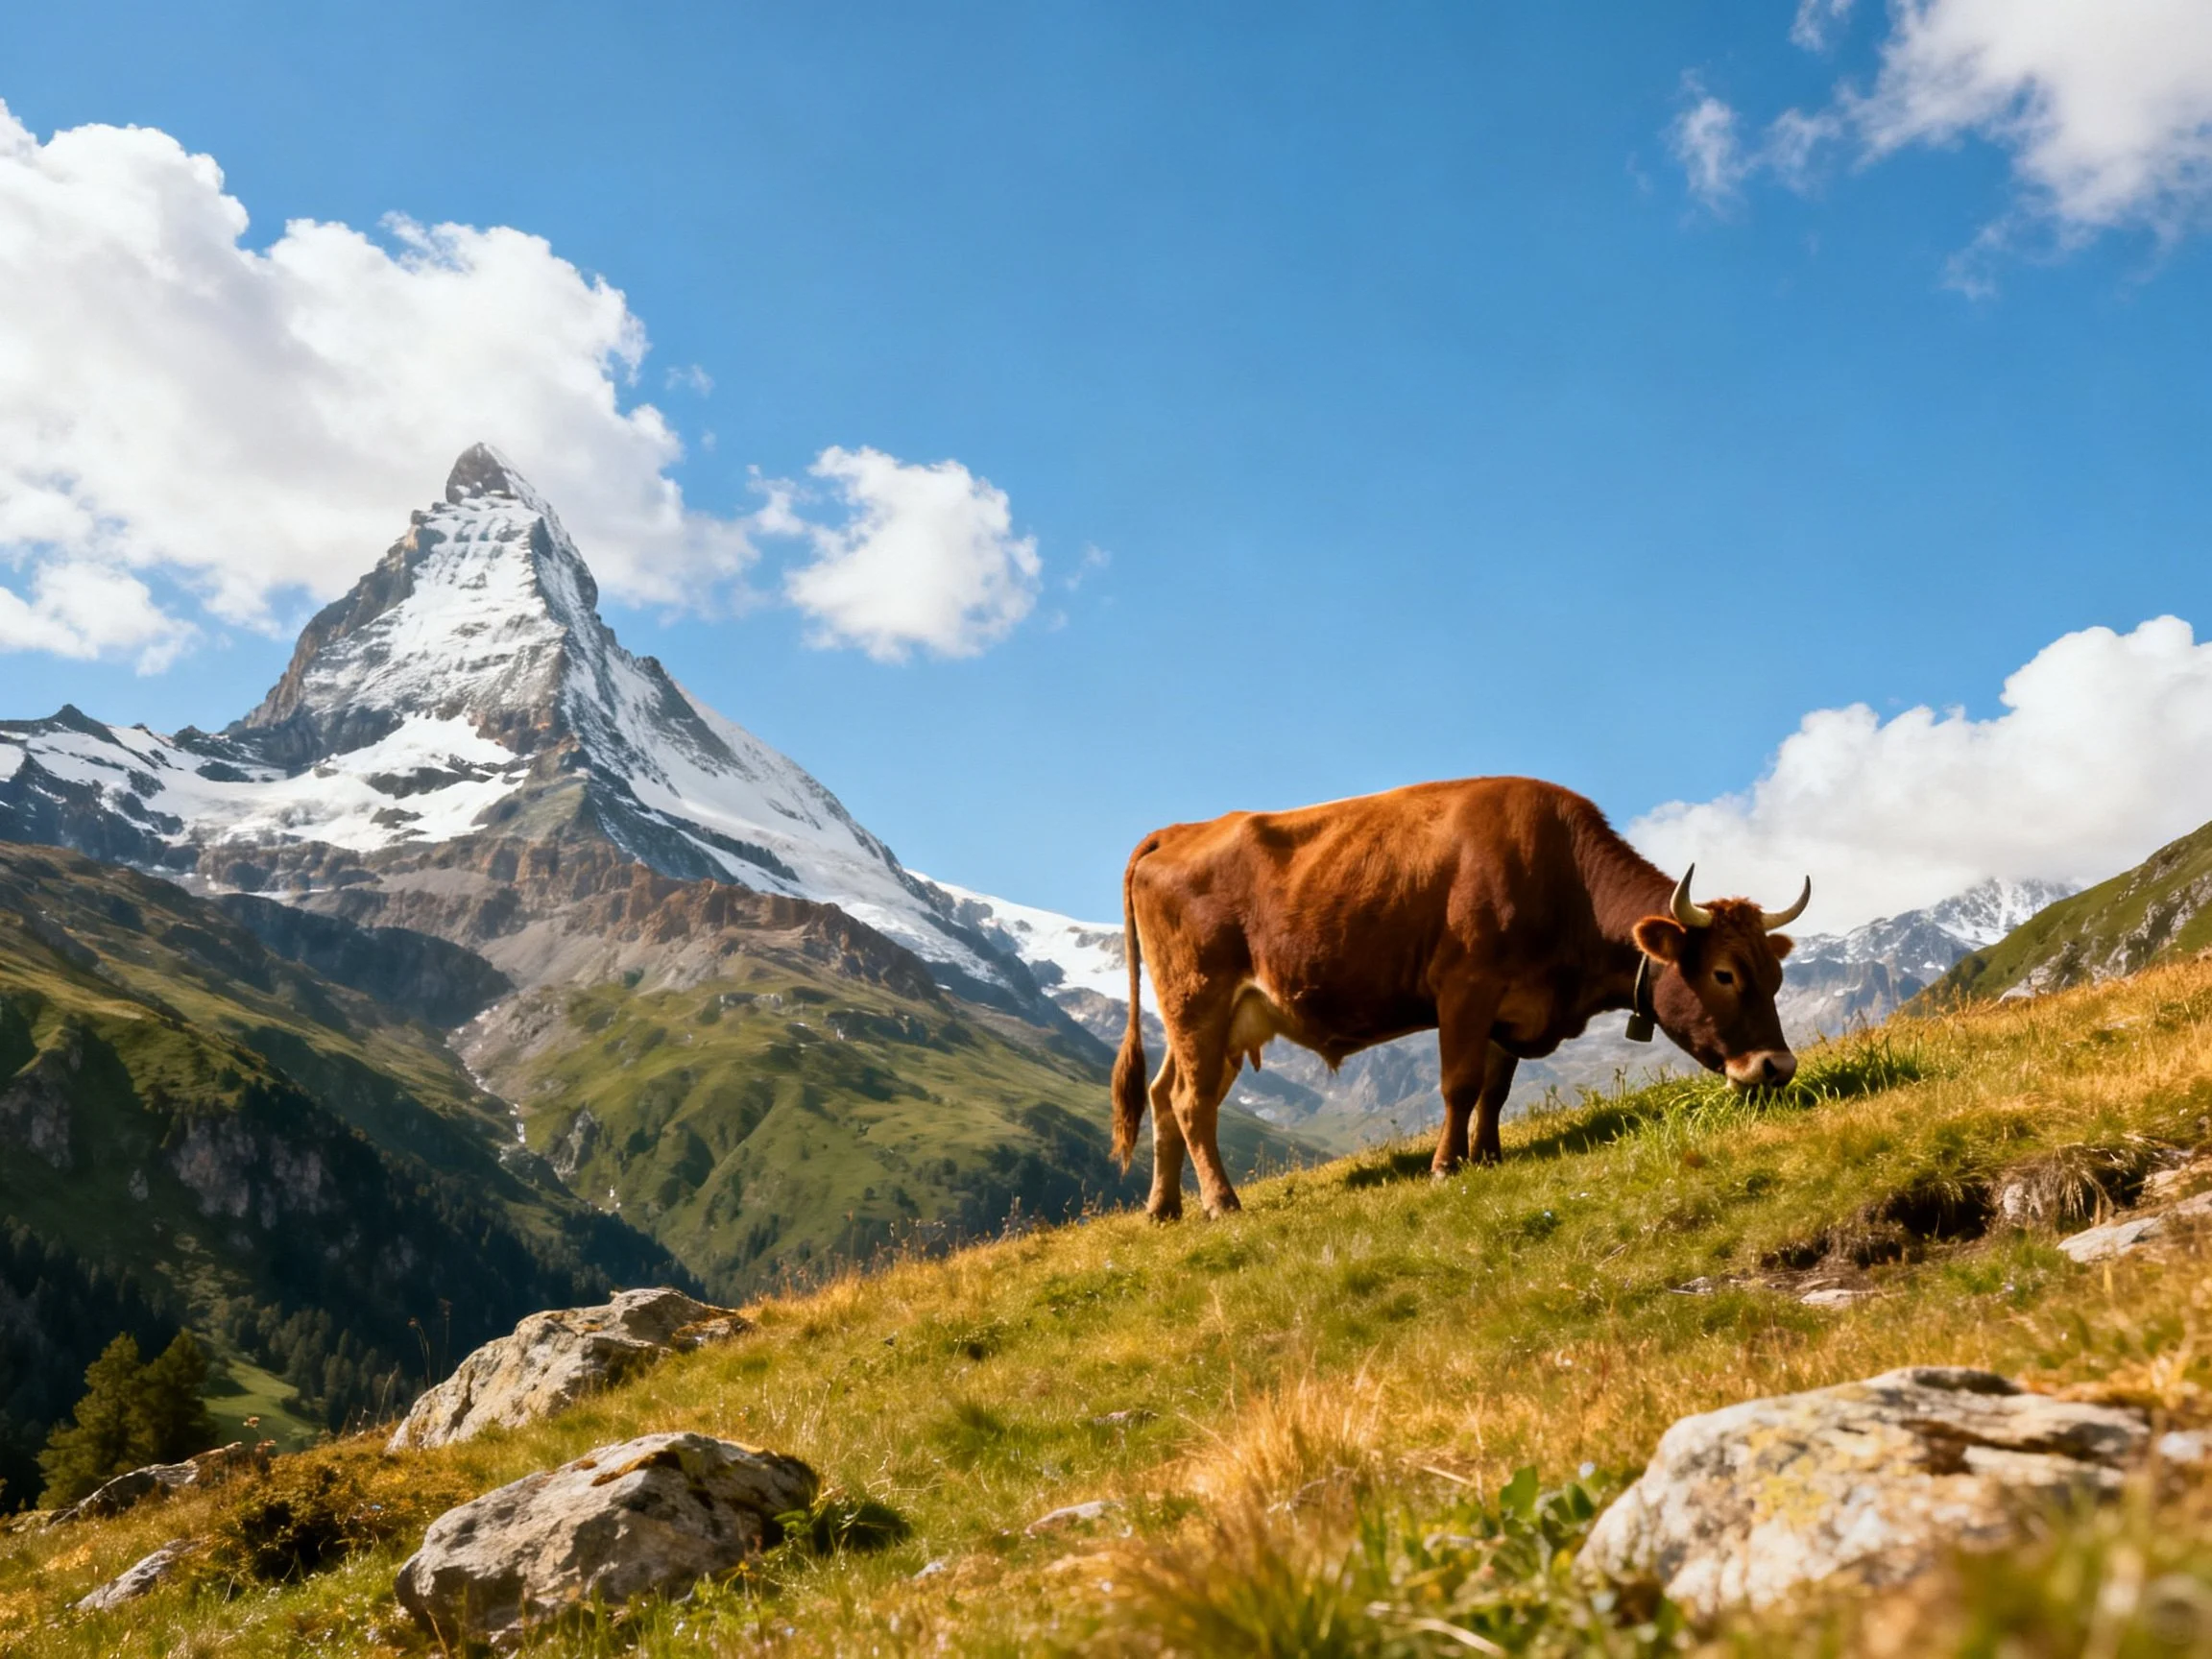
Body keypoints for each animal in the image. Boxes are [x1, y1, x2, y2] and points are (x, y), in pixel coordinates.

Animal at [1110, 775, 1808, 1220]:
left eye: (1774, 977)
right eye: (1723, 974)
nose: (1776, 1067)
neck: (1563, 880)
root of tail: (1178, 831)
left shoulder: (1512, 1009)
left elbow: (1495, 1090)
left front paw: (1489, 1157)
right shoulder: (1465, 990)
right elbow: (1461, 1084)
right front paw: (1446, 1166)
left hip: (1224, 1022)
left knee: (1163, 1097)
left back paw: (1164, 1208)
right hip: (1198, 999)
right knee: (1190, 1102)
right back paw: (1221, 1204)